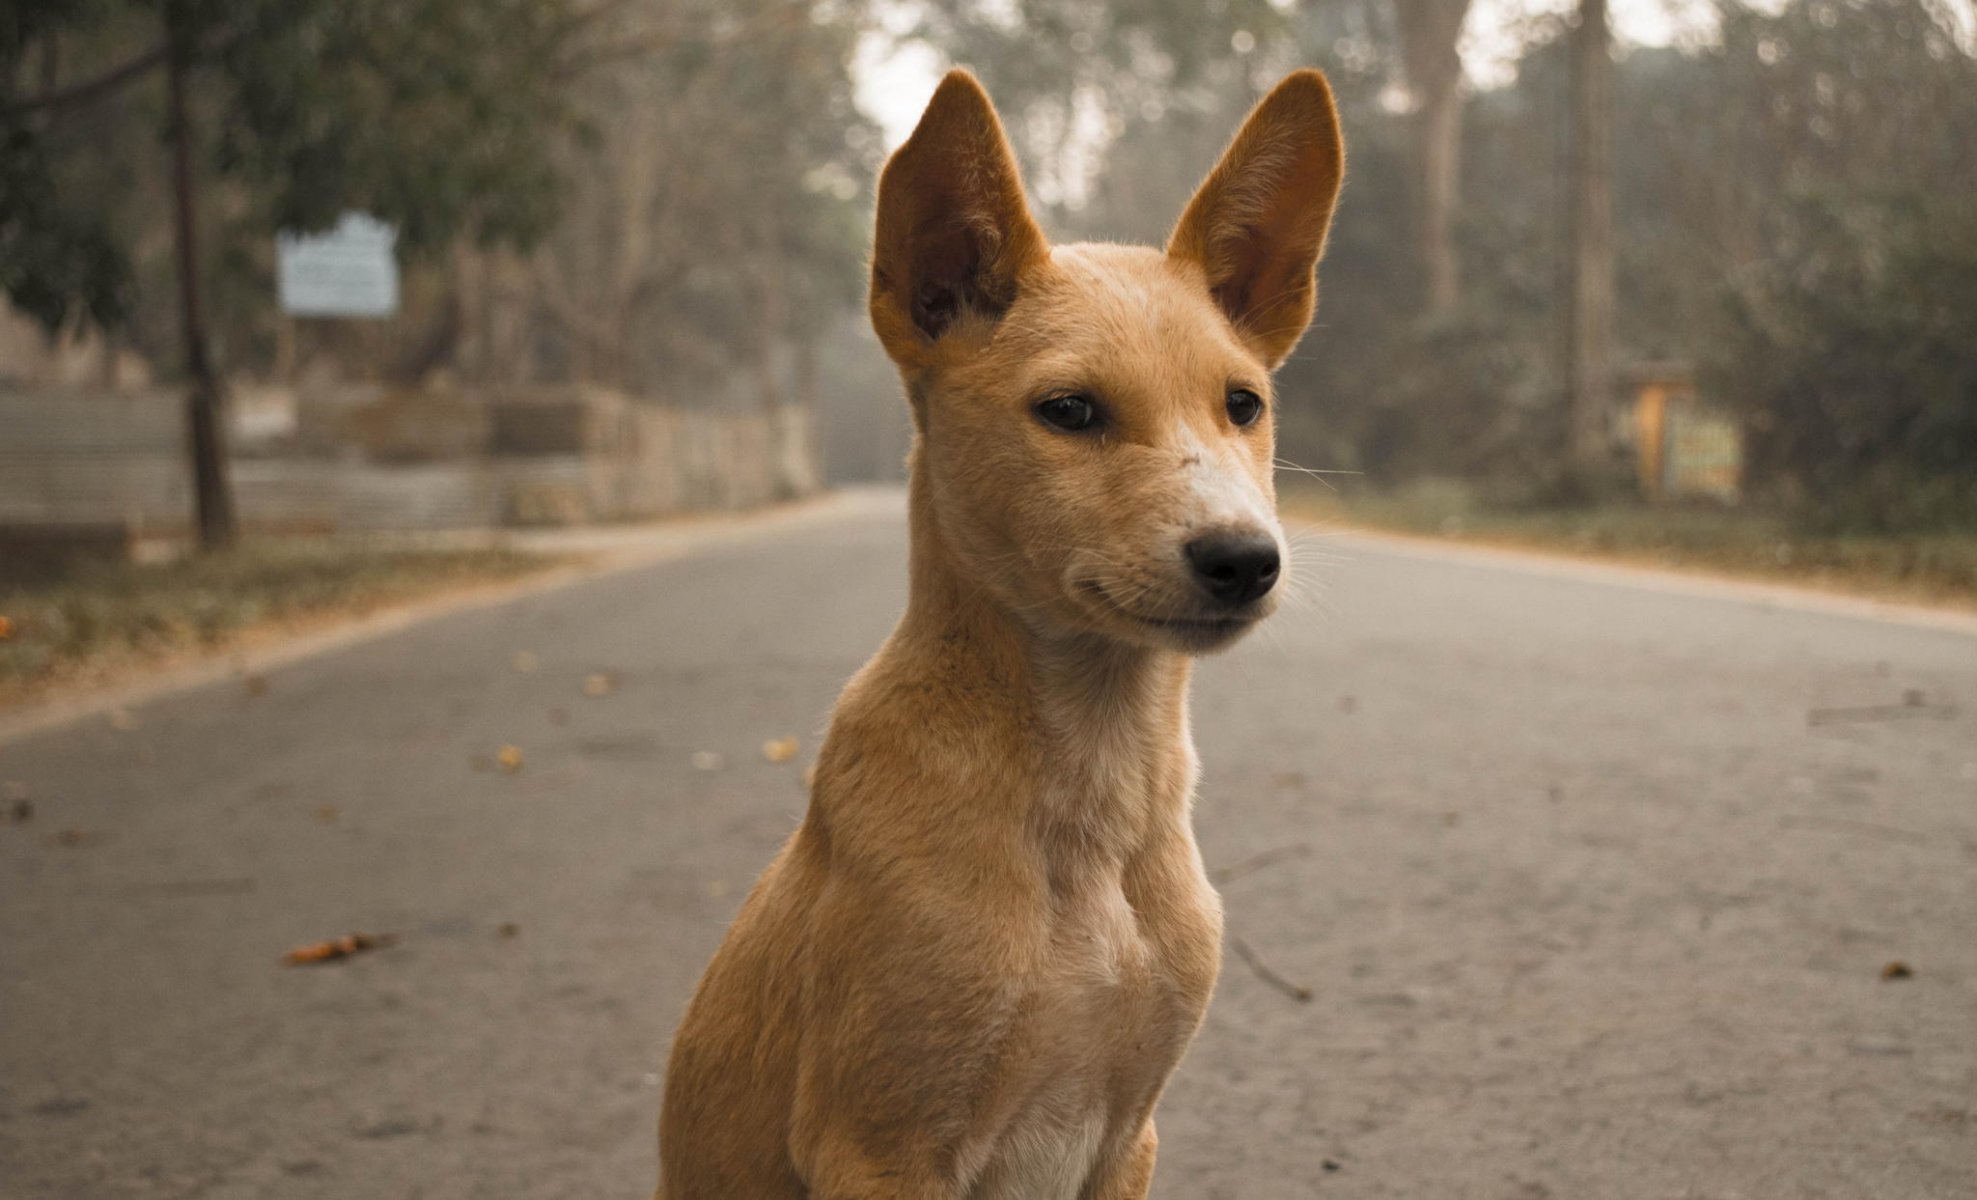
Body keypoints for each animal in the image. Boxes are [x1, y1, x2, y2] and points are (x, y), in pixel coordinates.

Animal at [660, 68, 1344, 1200]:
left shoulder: (1126, 1137)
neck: (1089, 791)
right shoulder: (881, 1149)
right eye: (1069, 410)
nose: (1246, 559)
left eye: (1243, 405)